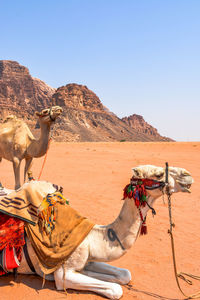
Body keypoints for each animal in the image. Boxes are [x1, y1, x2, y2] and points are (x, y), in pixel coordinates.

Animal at [3, 165, 194, 298]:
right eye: (159, 174)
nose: (187, 175)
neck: (92, 236)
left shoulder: (87, 258)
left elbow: (124, 275)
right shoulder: (64, 272)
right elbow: (116, 289)